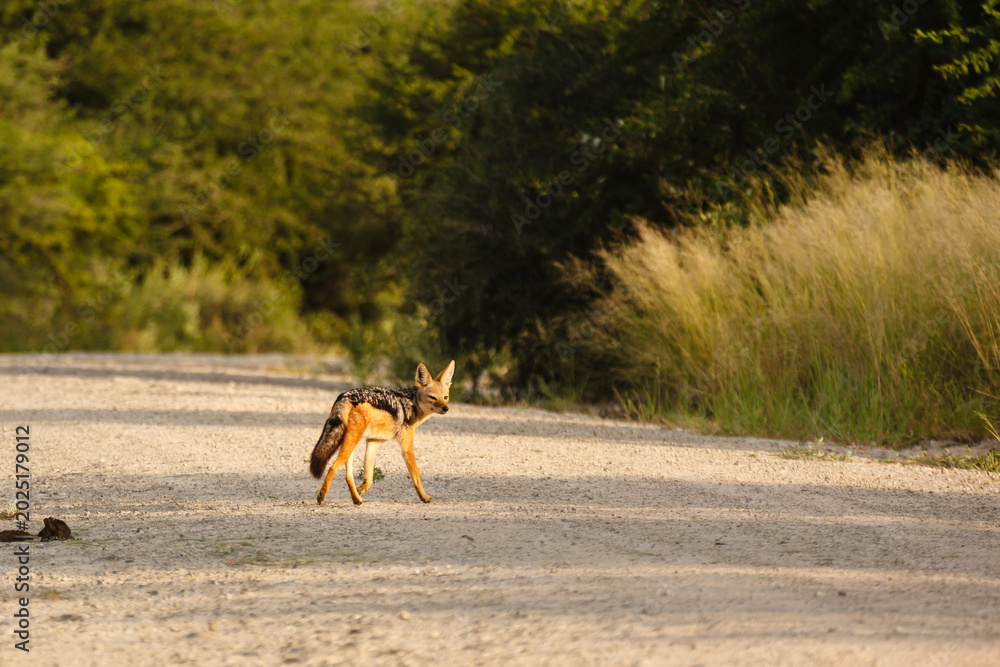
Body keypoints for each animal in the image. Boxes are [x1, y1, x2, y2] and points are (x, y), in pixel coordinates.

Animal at [310, 360, 455, 506]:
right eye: (432, 397)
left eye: (445, 397)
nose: (446, 408)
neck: (412, 403)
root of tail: (345, 397)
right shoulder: (407, 449)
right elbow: (417, 478)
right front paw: (424, 497)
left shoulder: (373, 442)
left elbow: (369, 479)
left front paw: (360, 489)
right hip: (350, 443)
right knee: (332, 468)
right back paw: (322, 495)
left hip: (349, 445)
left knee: (347, 476)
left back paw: (356, 498)